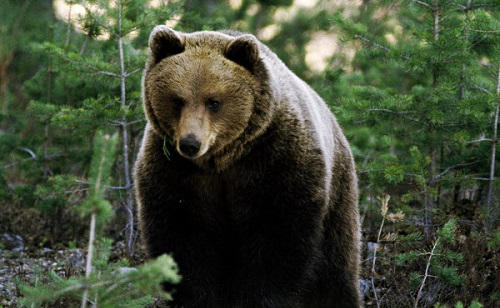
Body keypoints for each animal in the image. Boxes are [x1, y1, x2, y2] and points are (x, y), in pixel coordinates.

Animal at [133, 26, 360, 308]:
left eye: (213, 101)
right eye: (177, 100)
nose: (190, 144)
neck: (222, 160)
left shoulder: (275, 161)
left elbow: (278, 242)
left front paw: (264, 298)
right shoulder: (175, 172)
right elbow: (183, 237)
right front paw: (195, 298)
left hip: (338, 193)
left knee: (337, 264)